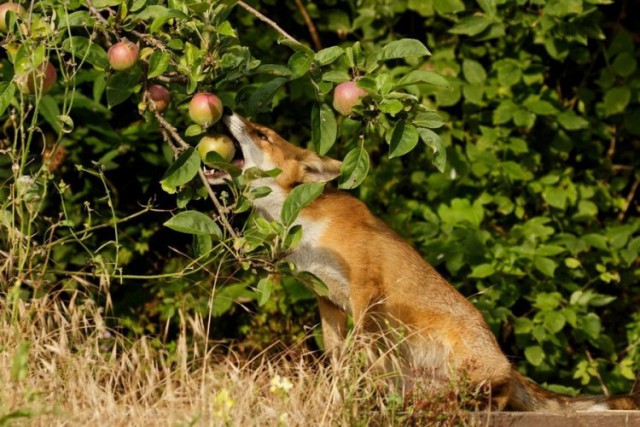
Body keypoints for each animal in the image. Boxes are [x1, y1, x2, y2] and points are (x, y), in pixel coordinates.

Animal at [206, 111, 640, 412]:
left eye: (262, 134)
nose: (228, 112)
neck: (305, 227)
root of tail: (506, 362)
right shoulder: (326, 298)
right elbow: (338, 359)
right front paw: (338, 398)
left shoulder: (366, 286)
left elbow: (360, 353)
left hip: (464, 356)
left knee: (495, 395)